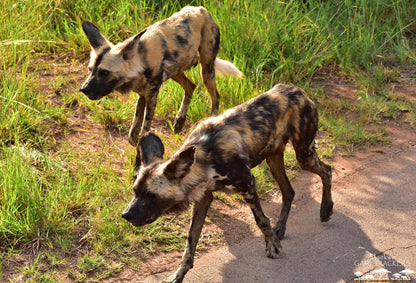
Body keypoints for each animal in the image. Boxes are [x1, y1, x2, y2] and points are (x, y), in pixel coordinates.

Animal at [79, 5, 242, 150]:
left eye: (104, 72)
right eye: (90, 70)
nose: (84, 89)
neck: (140, 61)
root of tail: (202, 10)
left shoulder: (151, 96)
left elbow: (144, 129)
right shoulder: (142, 95)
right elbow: (132, 135)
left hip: (206, 70)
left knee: (215, 97)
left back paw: (210, 120)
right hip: (176, 71)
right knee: (191, 86)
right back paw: (179, 121)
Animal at [122, 84, 334, 283]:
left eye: (150, 195)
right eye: (134, 192)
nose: (125, 215)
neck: (205, 159)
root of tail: (295, 89)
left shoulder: (248, 185)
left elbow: (261, 221)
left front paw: (272, 245)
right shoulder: (203, 200)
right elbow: (190, 243)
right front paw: (178, 274)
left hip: (303, 155)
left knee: (327, 171)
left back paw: (325, 209)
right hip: (274, 160)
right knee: (289, 191)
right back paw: (281, 228)